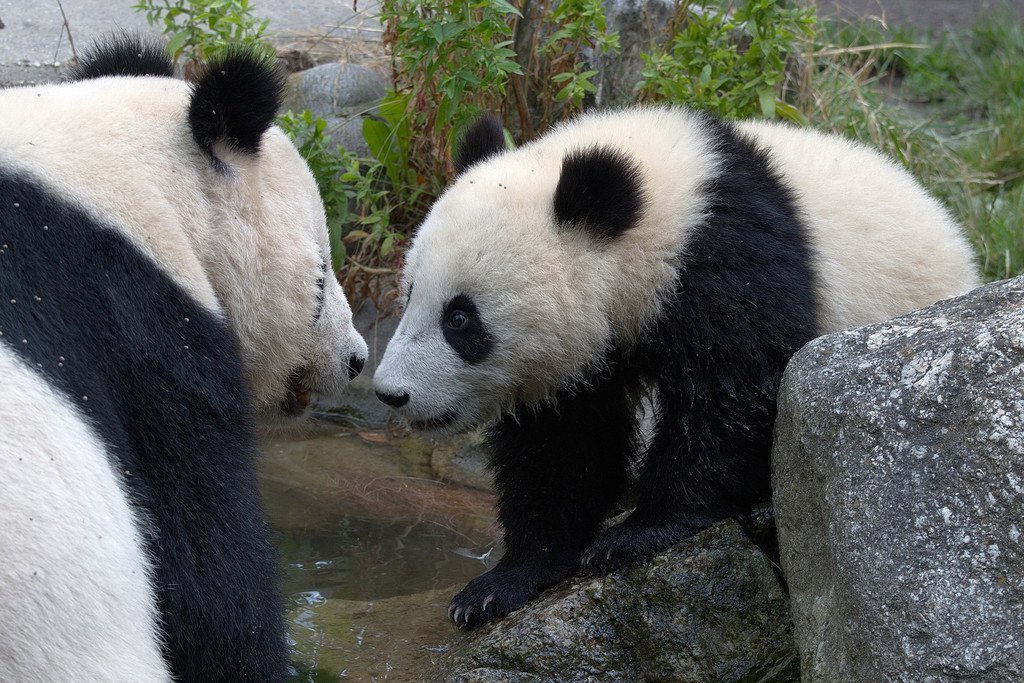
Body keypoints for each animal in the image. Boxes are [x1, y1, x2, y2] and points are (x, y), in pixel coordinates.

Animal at [372, 107, 980, 628]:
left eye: (460, 319)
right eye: (410, 294)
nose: (391, 393)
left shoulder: (727, 258)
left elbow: (733, 391)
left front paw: (636, 534)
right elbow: (562, 445)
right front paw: (499, 584)